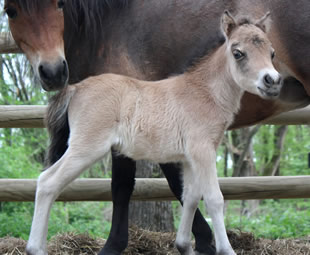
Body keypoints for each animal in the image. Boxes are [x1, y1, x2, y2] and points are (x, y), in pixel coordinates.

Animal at [4, 0, 310, 255]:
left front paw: (185, 245)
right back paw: (35, 248)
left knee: (46, 180)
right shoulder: (202, 150)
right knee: (48, 182)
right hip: (86, 147)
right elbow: (214, 198)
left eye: (272, 52)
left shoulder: (189, 157)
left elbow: (190, 196)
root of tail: (76, 88)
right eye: (238, 53)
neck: (203, 91)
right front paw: (225, 250)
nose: (272, 81)